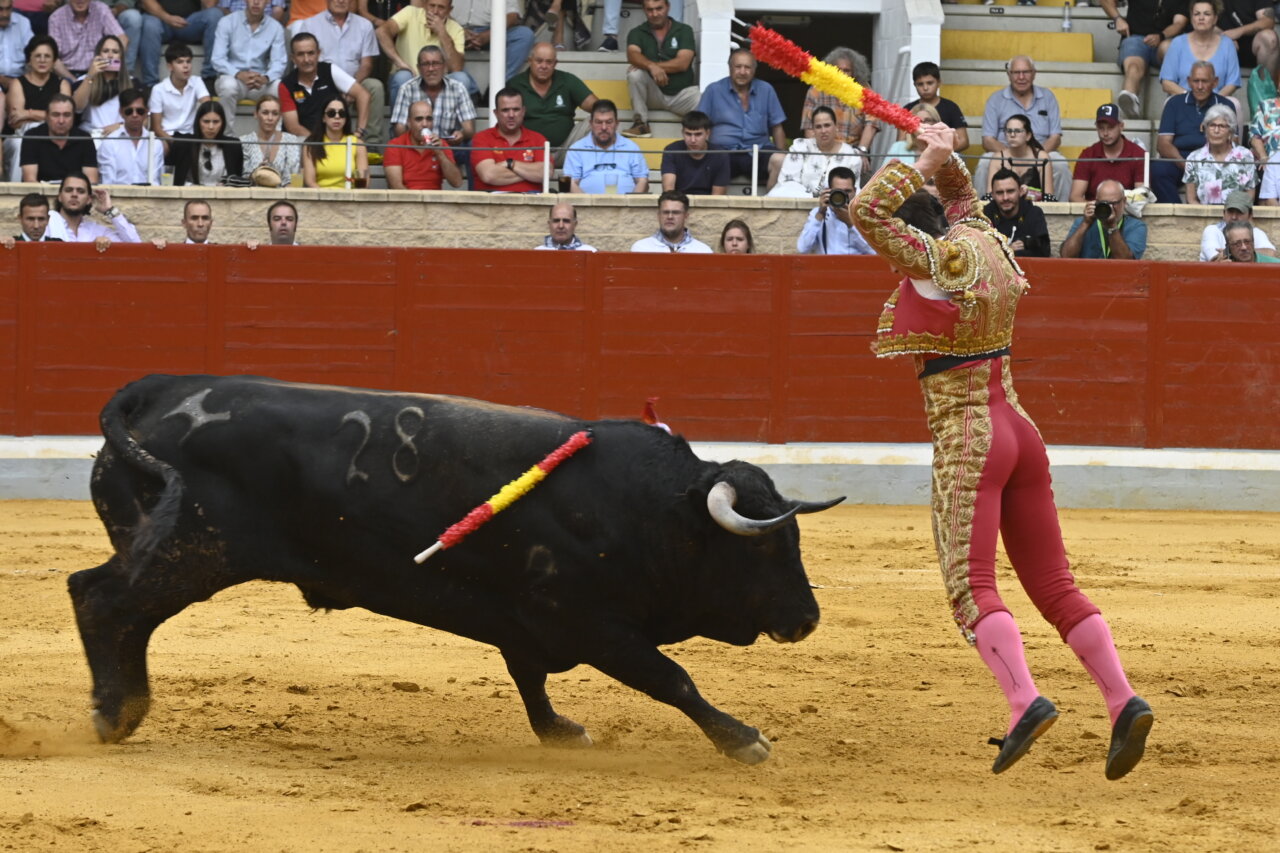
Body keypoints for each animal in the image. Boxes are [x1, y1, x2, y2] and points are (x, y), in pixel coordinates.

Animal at [69, 375, 842, 764]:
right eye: (764, 546)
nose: (808, 618)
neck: (648, 506)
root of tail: (159, 391)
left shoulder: (526, 619)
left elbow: (528, 678)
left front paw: (561, 732)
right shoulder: (590, 622)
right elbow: (671, 678)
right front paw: (744, 740)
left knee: (120, 611)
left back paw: (124, 707)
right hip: (191, 550)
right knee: (101, 599)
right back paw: (111, 712)